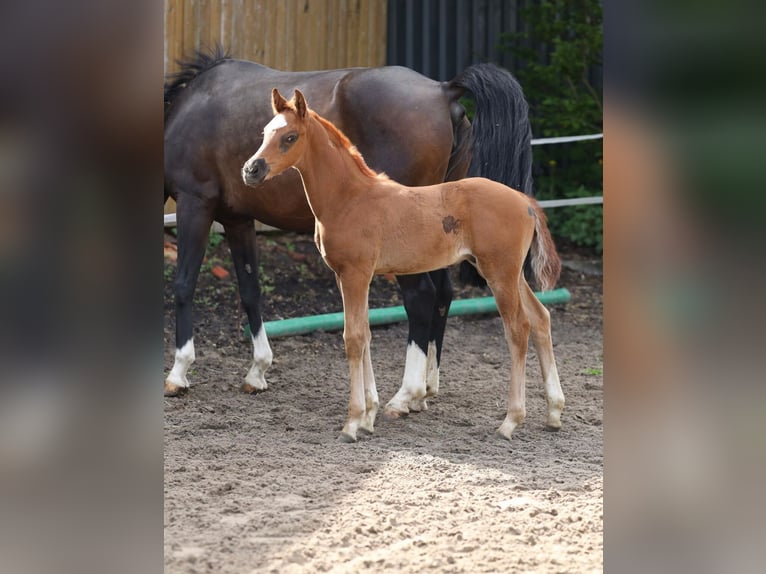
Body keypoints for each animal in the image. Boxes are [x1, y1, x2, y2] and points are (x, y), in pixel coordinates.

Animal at [164, 47, 534, 412]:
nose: (250, 170)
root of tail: (444, 90)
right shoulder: (237, 219)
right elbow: (250, 291)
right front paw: (257, 371)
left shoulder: (195, 204)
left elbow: (183, 285)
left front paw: (179, 372)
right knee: (442, 295)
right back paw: (426, 389)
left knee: (421, 298)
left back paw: (405, 395)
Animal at [242, 88, 564, 442]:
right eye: (264, 133)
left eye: (290, 137)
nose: (251, 170)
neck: (349, 199)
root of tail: (526, 202)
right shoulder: (346, 276)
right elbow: (366, 335)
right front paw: (368, 416)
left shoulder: (355, 274)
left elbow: (353, 338)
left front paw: (352, 422)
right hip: (512, 274)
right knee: (541, 318)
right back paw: (554, 412)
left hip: (499, 274)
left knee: (518, 329)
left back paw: (510, 421)